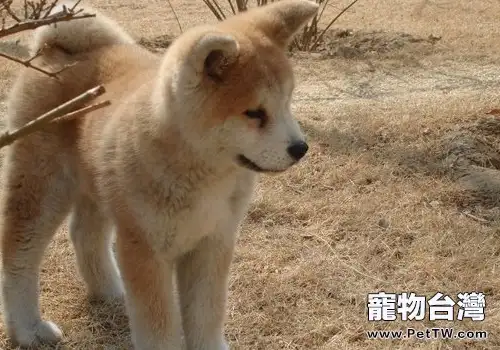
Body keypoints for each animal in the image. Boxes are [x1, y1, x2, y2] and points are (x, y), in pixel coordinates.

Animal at [0, 0, 318, 348]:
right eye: (254, 114)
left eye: (287, 102)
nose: (300, 148)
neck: (205, 176)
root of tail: (56, 48)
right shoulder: (146, 250)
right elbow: (158, 326)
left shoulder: (212, 242)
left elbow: (206, 315)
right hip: (43, 186)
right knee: (19, 253)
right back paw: (28, 328)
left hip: (99, 186)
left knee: (85, 234)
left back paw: (110, 290)